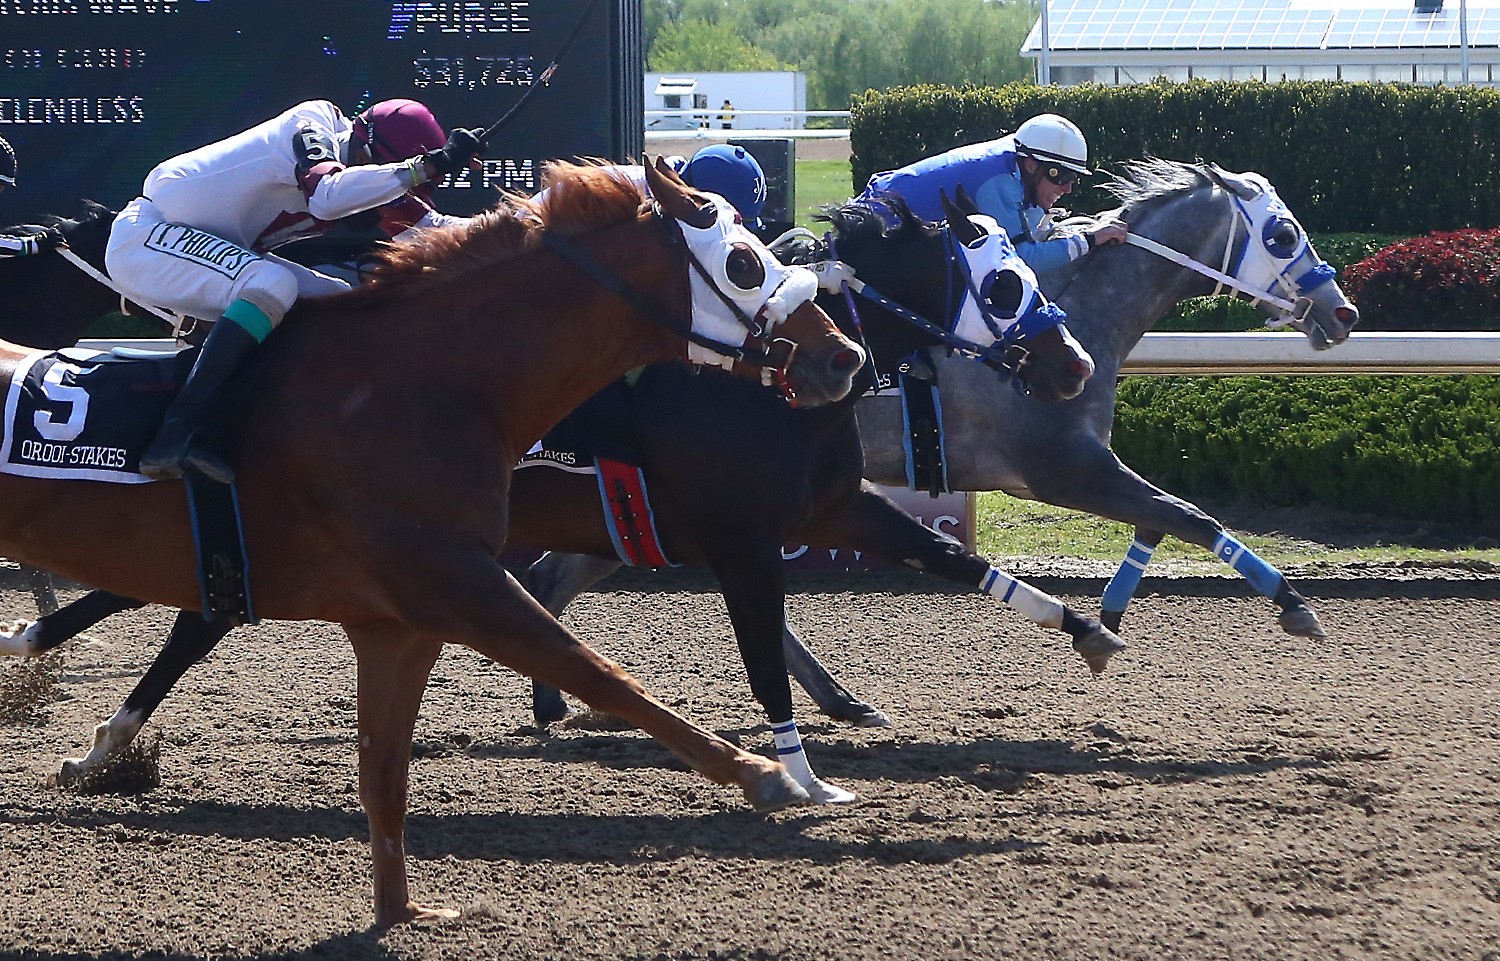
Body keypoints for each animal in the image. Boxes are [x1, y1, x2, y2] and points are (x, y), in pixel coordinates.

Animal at [0, 158, 870, 929]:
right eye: (743, 260)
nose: (844, 356)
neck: (424, 382)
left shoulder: (398, 622)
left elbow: (384, 773)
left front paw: (402, 912)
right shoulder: (456, 582)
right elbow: (601, 672)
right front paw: (771, 776)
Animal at [2, 191, 1128, 797]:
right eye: (1006, 280)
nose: (1072, 364)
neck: (754, 384)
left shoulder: (828, 509)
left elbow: (959, 559)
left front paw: (1089, 629)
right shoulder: (741, 536)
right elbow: (762, 654)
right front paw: (799, 772)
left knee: (201, 605)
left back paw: (86, 711)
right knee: (199, 610)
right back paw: (82, 706)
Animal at [525, 157, 1362, 722]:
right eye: (1283, 231)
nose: (1344, 312)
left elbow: (1163, 518)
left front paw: (1112, 611)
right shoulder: (1062, 468)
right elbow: (1191, 515)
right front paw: (1295, 605)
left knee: (558, 573)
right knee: (558, 574)